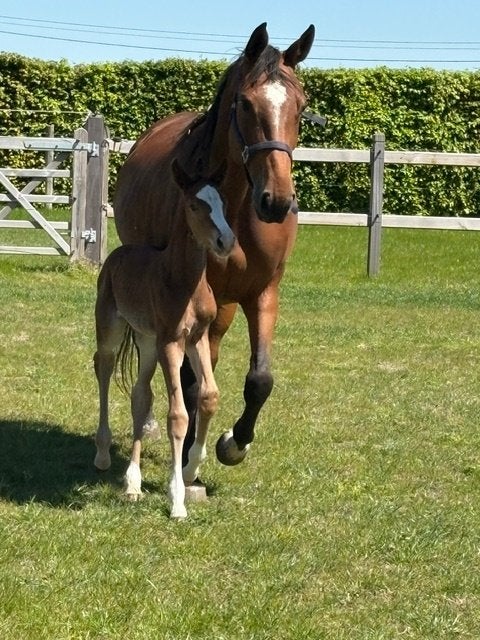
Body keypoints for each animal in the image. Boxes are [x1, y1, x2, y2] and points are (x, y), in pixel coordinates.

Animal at [93, 160, 236, 518]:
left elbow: (209, 396)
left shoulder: (196, 338)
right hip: (111, 327)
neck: (183, 281)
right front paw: (177, 501)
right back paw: (102, 454)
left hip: (146, 340)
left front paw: (190, 470)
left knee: (140, 395)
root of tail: (118, 253)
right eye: (195, 205)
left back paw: (132, 484)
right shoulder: (171, 342)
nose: (226, 241)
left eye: (223, 204)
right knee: (103, 368)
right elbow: (178, 414)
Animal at [113, 22, 315, 474]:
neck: (236, 206)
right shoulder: (185, 302)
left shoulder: (262, 293)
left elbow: (260, 380)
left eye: (301, 105)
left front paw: (232, 444)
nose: (277, 202)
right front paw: (190, 453)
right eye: (246, 104)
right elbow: (188, 382)